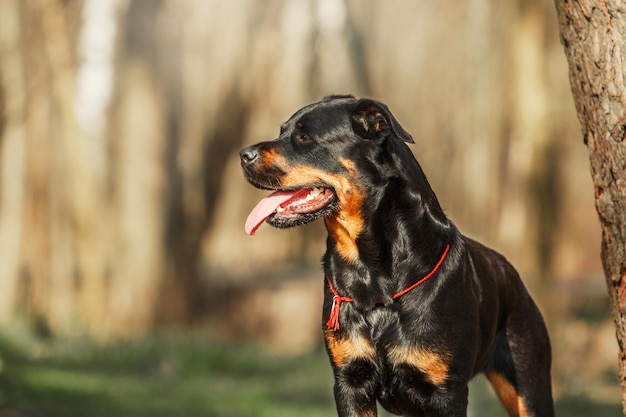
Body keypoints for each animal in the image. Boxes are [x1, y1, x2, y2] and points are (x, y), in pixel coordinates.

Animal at [239, 95, 552, 416]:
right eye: (283, 131)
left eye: (304, 137)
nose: (243, 154)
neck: (369, 269)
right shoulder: (350, 382)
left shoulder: (446, 393)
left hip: (529, 379)